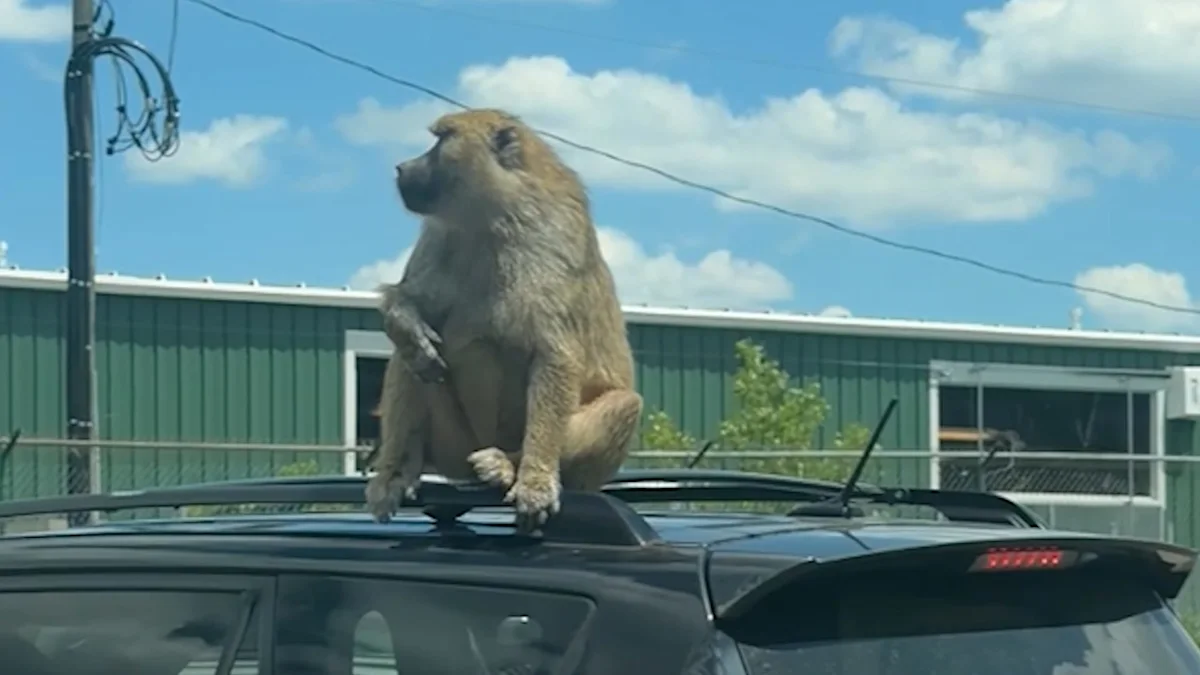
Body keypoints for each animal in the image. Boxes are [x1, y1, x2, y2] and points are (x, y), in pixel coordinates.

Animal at [364, 108, 644, 533]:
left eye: (441, 139)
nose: (402, 167)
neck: (493, 218)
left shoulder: (552, 241)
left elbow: (555, 357)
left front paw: (535, 482)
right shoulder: (438, 238)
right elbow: (410, 304)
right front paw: (408, 327)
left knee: (625, 403)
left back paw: (505, 465)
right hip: (454, 447)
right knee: (408, 361)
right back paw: (399, 470)